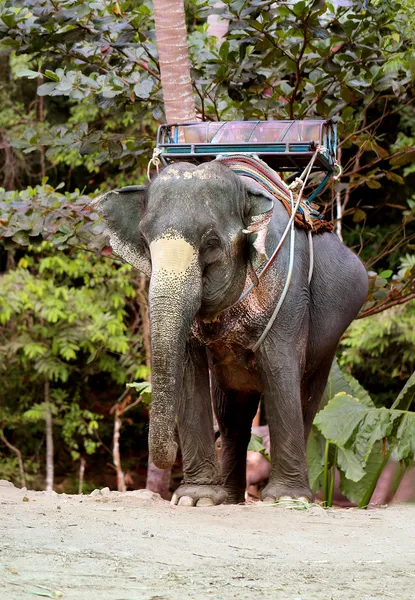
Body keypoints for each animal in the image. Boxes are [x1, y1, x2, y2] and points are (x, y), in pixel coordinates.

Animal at [96, 159, 368, 506]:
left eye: (211, 243)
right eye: (145, 240)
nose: (168, 454)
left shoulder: (289, 291)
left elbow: (280, 368)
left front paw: (285, 499)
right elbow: (189, 370)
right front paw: (195, 499)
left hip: (332, 336)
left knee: (307, 399)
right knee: (232, 415)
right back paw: (228, 498)